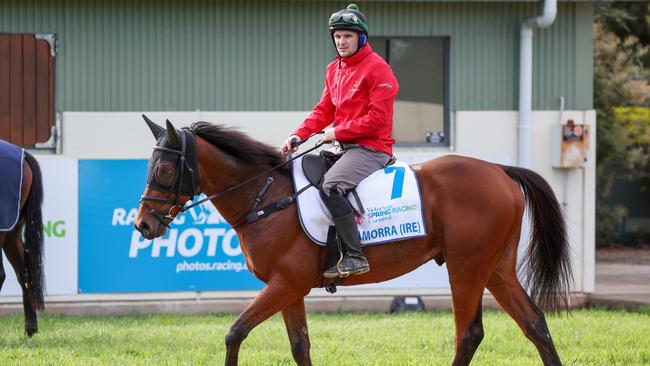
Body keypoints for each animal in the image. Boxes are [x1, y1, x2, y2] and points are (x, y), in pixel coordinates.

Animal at [134, 117, 568, 366]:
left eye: (166, 169)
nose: (143, 225)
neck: (266, 193)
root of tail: (500, 170)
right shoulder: (289, 288)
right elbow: (300, 346)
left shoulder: (284, 283)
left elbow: (235, 333)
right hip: (496, 269)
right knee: (535, 326)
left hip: (467, 269)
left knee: (469, 334)